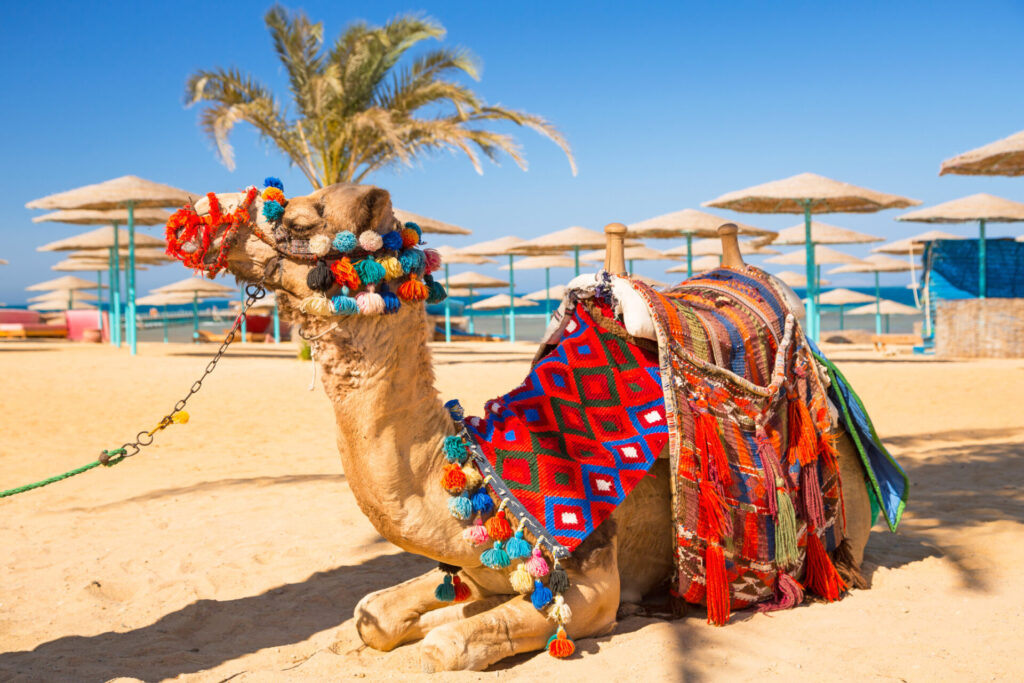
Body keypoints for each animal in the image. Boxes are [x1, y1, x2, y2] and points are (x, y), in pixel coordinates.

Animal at [169, 181, 872, 671]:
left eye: (297, 219)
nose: (202, 217)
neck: (481, 474)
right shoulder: (472, 563)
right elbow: (373, 615)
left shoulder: (592, 583)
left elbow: (447, 645)